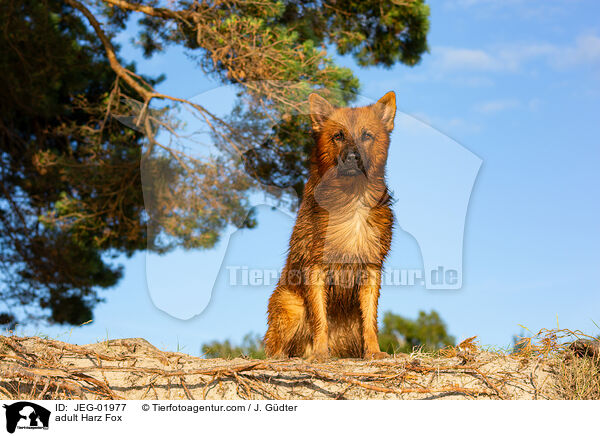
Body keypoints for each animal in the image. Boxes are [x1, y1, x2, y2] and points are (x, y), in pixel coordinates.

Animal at [264, 92, 396, 362]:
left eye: (367, 135)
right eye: (338, 136)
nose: (353, 157)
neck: (352, 198)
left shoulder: (370, 269)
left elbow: (370, 321)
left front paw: (374, 351)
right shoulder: (315, 268)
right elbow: (320, 318)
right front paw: (320, 353)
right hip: (289, 304)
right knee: (276, 347)